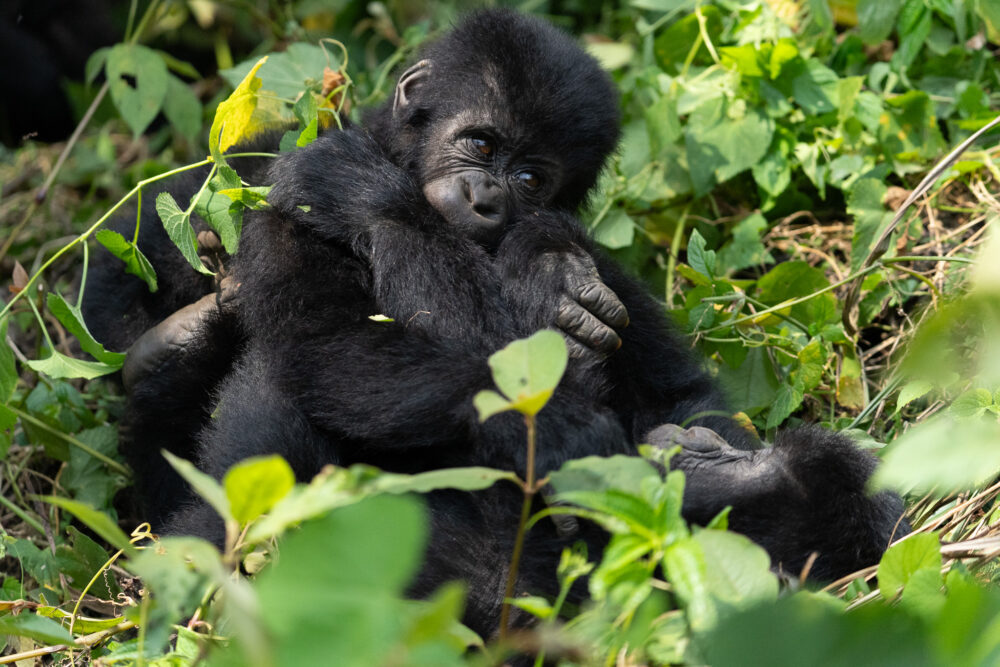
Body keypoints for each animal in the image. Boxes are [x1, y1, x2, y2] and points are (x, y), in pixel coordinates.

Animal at [86, 9, 912, 636]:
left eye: (529, 177)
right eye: (481, 143)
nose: (488, 199)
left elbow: (346, 351)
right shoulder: (281, 191)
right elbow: (331, 339)